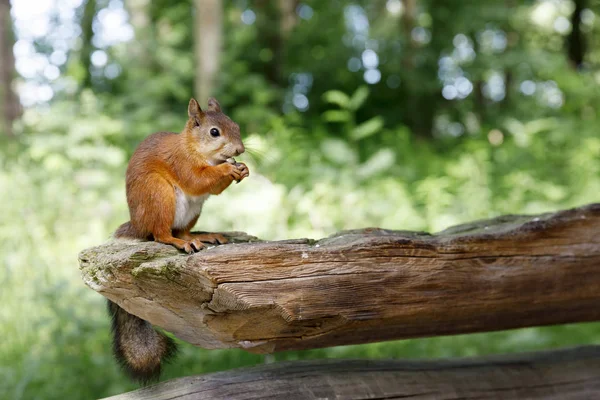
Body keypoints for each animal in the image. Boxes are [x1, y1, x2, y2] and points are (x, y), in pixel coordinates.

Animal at [108, 97, 248, 384]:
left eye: (236, 126)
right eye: (214, 132)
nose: (240, 150)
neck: (196, 149)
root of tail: (137, 224)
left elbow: (213, 187)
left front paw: (242, 169)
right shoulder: (181, 163)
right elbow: (197, 179)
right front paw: (228, 168)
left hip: (193, 211)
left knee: (182, 230)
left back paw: (200, 236)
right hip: (159, 194)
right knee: (161, 234)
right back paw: (179, 242)